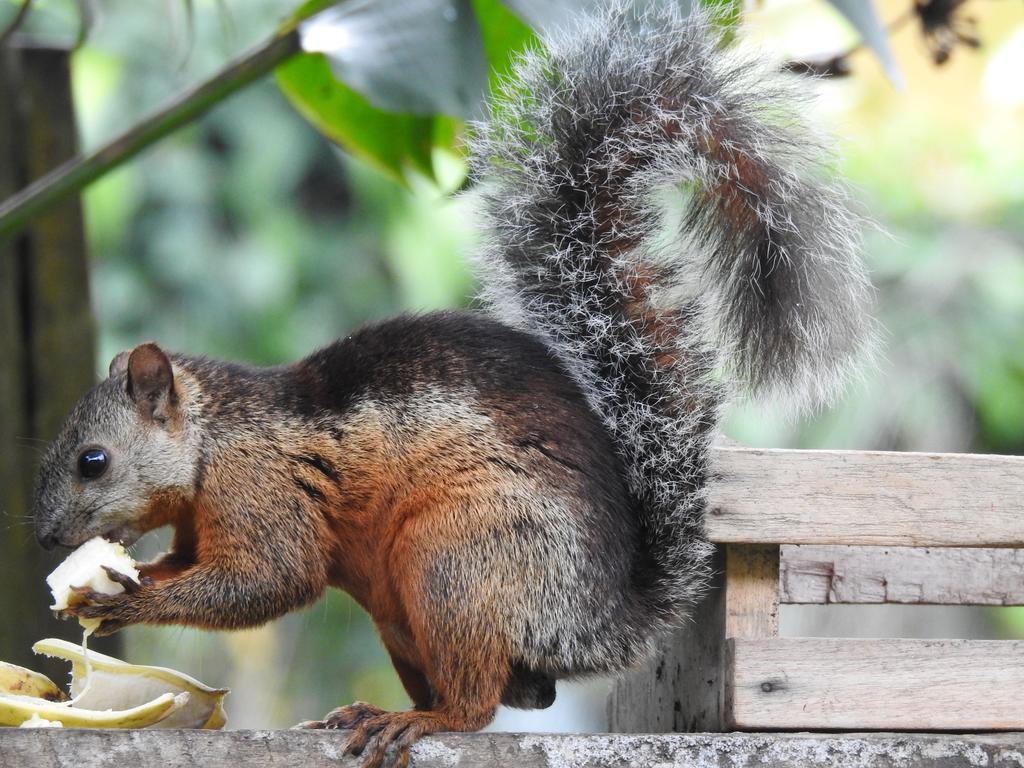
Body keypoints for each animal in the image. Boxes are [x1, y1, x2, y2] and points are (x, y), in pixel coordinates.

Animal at [29, 3, 872, 765]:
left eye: (93, 461)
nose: (45, 541)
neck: (213, 438)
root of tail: (599, 618)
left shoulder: (263, 489)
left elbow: (271, 579)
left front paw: (122, 597)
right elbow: (195, 566)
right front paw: (122, 581)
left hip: (455, 561)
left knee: (476, 704)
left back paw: (417, 721)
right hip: (405, 609)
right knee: (519, 693)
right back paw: (364, 714)